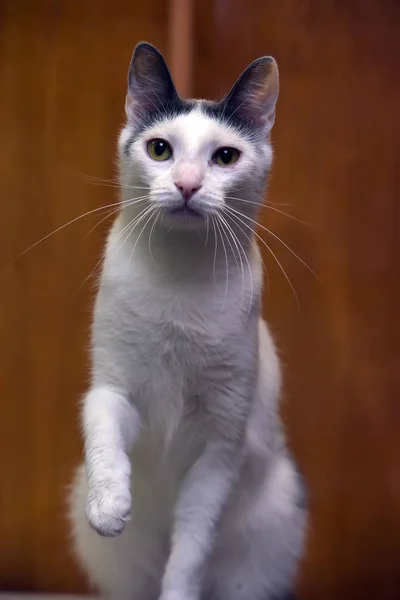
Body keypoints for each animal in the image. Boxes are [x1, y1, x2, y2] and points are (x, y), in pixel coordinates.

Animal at [69, 42, 308, 600]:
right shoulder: (114, 390)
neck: (179, 279)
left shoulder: (221, 444)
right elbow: (104, 432)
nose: (187, 185)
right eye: (160, 150)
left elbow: (192, 548)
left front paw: (178, 587)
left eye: (225, 157)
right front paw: (109, 506)